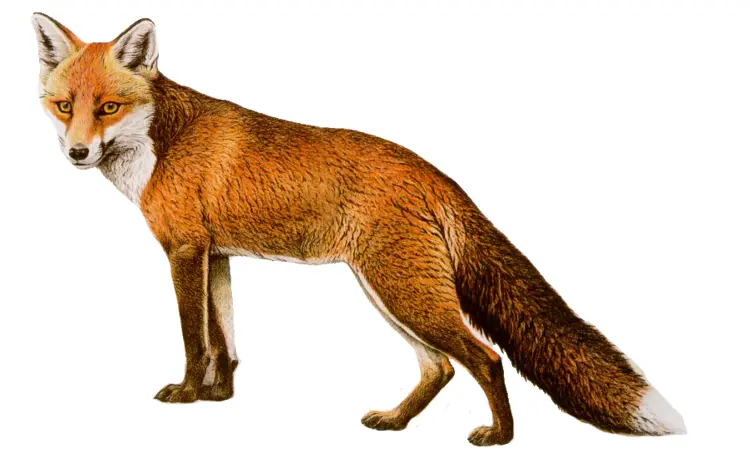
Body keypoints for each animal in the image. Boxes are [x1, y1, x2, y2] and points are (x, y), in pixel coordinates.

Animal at [32, 13, 685, 446]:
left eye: (108, 107)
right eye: (64, 106)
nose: (77, 153)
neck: (161, 144)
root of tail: (433, 173)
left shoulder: (184, 251)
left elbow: (196, 341)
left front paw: (189, 395)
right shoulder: (216, 256)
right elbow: (226, 342)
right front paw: (220, 397)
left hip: (403, 292)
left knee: (486, 358)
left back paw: (499, 437)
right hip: (387, 292)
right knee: (441, 367)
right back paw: (396, 422)